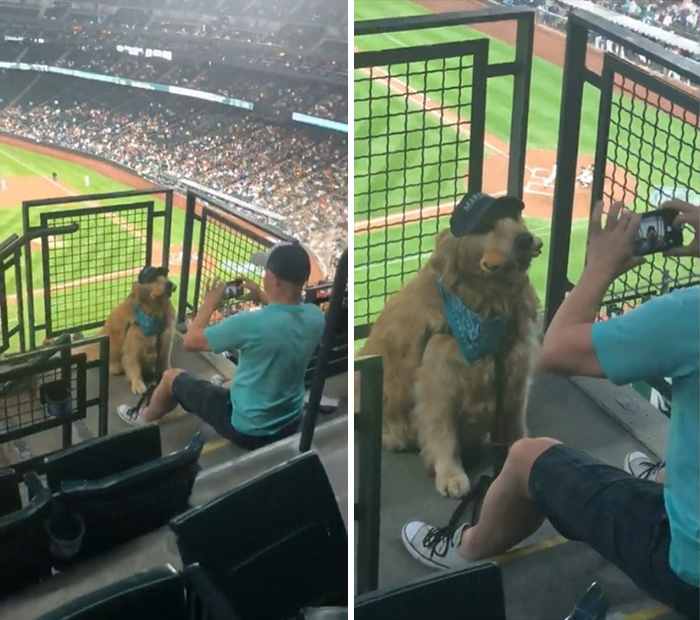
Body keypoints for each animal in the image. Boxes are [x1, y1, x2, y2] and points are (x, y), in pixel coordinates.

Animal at [358, 194, 544, 498]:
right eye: (487, 224)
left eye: (514, 217)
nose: (525, 239)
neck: (484, 305)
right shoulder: (439, 382)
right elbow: (444, 435)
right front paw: (450, 475)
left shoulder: (515, 371)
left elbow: (516, 423)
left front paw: (523, 452)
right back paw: (394, 437)